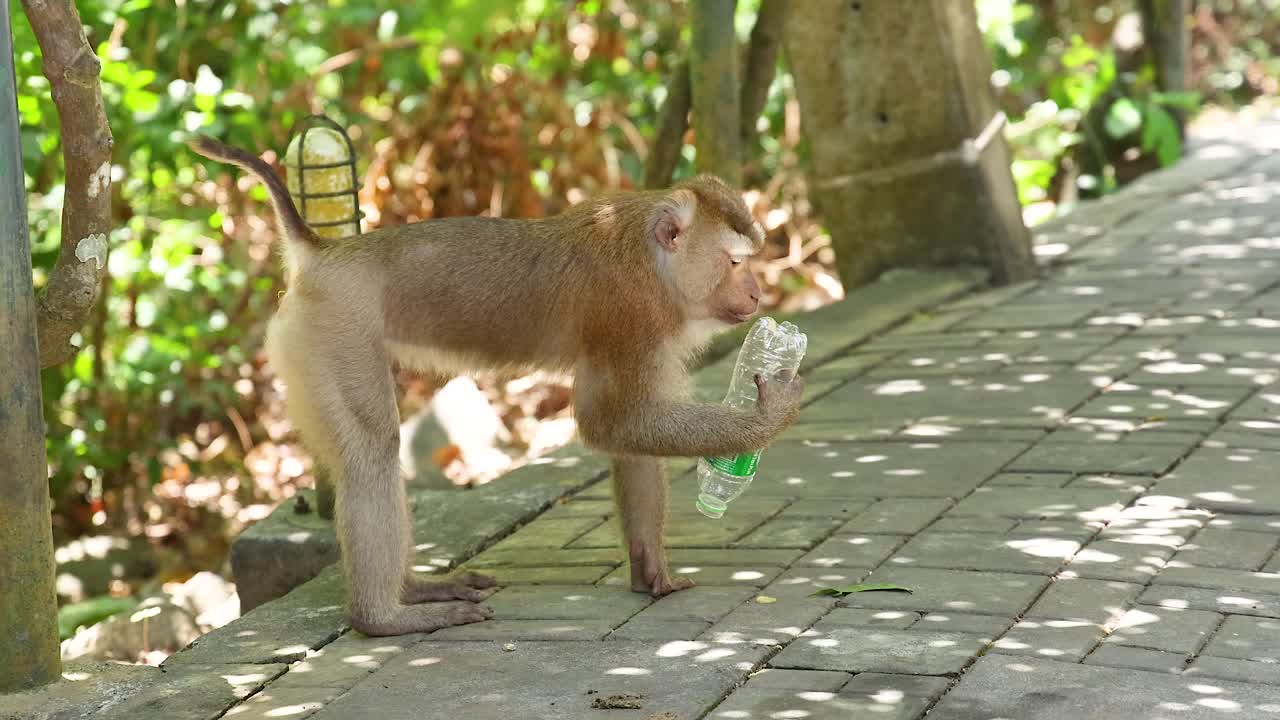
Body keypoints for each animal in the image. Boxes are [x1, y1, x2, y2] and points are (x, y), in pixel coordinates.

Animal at [187, 135, 806, 637]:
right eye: (735, 262)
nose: (757, 293)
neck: (654, 260)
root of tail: (325, 253)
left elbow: (628, 435)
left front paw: (652, 571)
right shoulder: (631, 314)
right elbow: (610, 421)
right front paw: (763, 420)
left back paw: (413, 590)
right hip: (329, 332)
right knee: (370, 450)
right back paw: (382, 618)